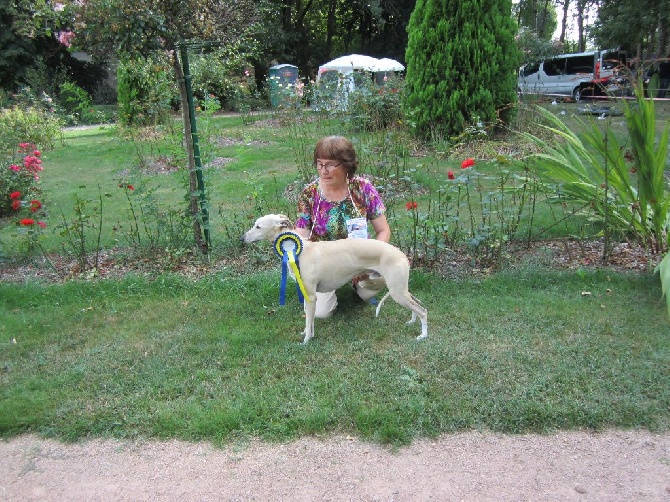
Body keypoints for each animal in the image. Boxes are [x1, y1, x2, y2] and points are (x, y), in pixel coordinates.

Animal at [243, 214, 430, 344]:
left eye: (258, 226)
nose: (242, 238)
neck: (298, 250)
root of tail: (402, 255)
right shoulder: (307, 294)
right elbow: (308, 318)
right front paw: (306, 333)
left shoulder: (311, 296)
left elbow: (309, 321)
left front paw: (306, 340)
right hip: (401, 290)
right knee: (416, 305)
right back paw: (411, 322)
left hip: (397, 291)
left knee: (423, 311)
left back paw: (423, 335)